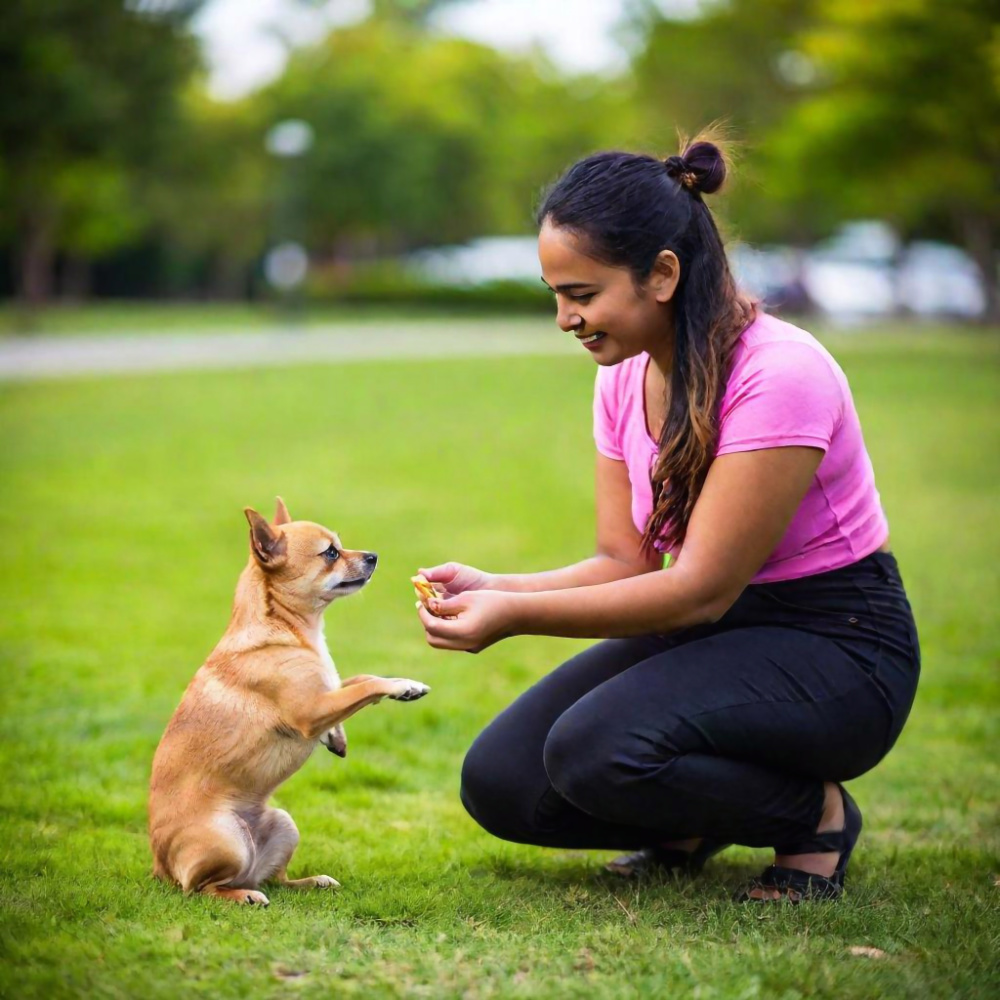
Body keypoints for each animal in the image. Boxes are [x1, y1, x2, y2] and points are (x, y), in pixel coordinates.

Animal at [148, 500, 430, 908]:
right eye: (330, 553)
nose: (373, 555)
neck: (294, 629)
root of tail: (159, 867)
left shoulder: (326, 690)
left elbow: (358, 680)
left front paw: (336, 737)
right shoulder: (311, 711)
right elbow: (369, 685)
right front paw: (404, 686)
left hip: (283, 823)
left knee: (276, 879)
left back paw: (310, 881)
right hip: (227, 840)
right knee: (201, 888)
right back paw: (243, 896)